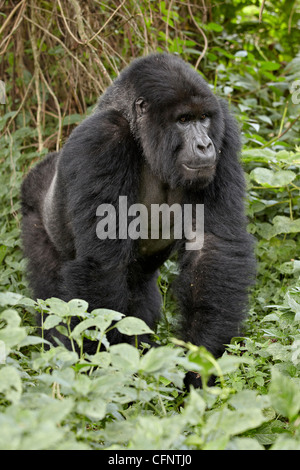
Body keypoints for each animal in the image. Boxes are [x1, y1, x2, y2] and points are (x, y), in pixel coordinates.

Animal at [21, 53, 255, 388]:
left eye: (204, 118)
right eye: (183, 120)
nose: (204, 145)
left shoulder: (225, 132)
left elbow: (213, 247)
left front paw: (201, 362)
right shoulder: (101, 141)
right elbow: (103, 266)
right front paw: (103, 369)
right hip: (34, 211)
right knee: (51, 298)